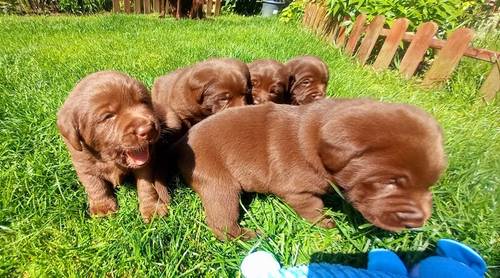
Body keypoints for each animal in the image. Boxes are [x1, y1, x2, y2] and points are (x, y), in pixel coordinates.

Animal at [57, 70, 170, 223]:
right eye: (108, 116)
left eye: (144, 102)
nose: (148, 130)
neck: (110, 159)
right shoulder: (82, 164)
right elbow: (95, 185)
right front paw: (102, 208)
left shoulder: (147, 163)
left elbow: (146, 185)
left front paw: (152, 209)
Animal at [175, 99, 446, 239]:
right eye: (389, 182)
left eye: (430, 183)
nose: (418, 221)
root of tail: (181, 143)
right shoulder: (298, 192)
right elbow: (313, 208)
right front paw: (327, 223)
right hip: (219, 183)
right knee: (221, 222)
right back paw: (248, 236)